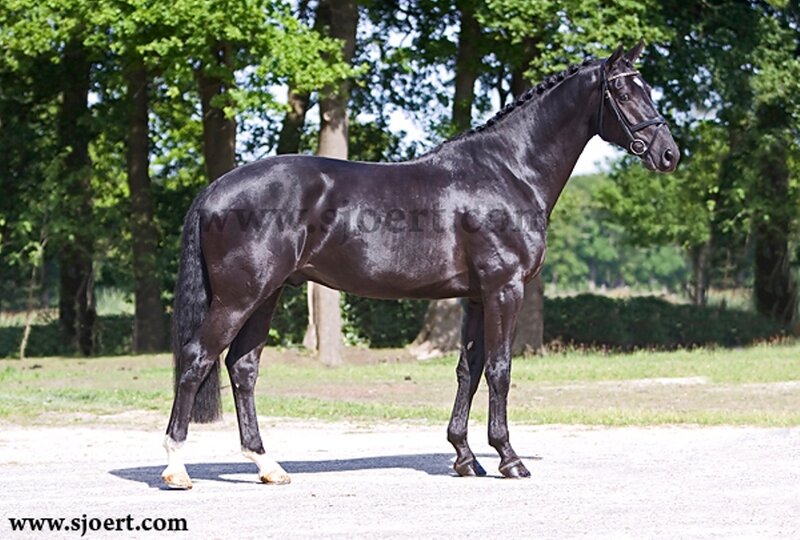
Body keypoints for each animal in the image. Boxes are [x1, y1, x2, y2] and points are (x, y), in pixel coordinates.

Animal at [161, 41, 679, 488]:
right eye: (623, 92)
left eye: (647, 89)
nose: (669, 153)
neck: (508, 172)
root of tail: (217, 187)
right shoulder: (504, 289)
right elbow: (500, 369)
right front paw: (508, 458)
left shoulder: (476, 297)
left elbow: (469, 369)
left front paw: (465, 457)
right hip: (239, 297)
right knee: (196, 359)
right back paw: (177, 468)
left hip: (266, 295)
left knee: (242, 368)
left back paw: (267, 465)